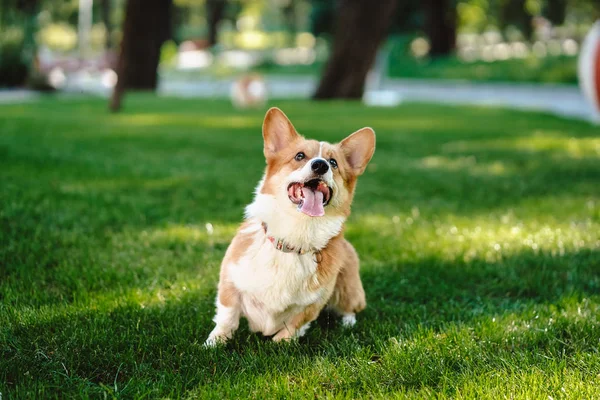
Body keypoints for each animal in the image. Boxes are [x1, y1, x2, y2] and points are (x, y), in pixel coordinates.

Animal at [206, 108, 376, 346]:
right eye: (299, 156)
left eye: (333, 162)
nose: (320, 165)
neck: (293, 239)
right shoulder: (230, 283)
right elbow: (227, 317)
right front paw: (214, 342)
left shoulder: (313, 304)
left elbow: (294, 325)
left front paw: (280, 345)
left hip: (348, 290)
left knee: (350, 309)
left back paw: (348, 324)